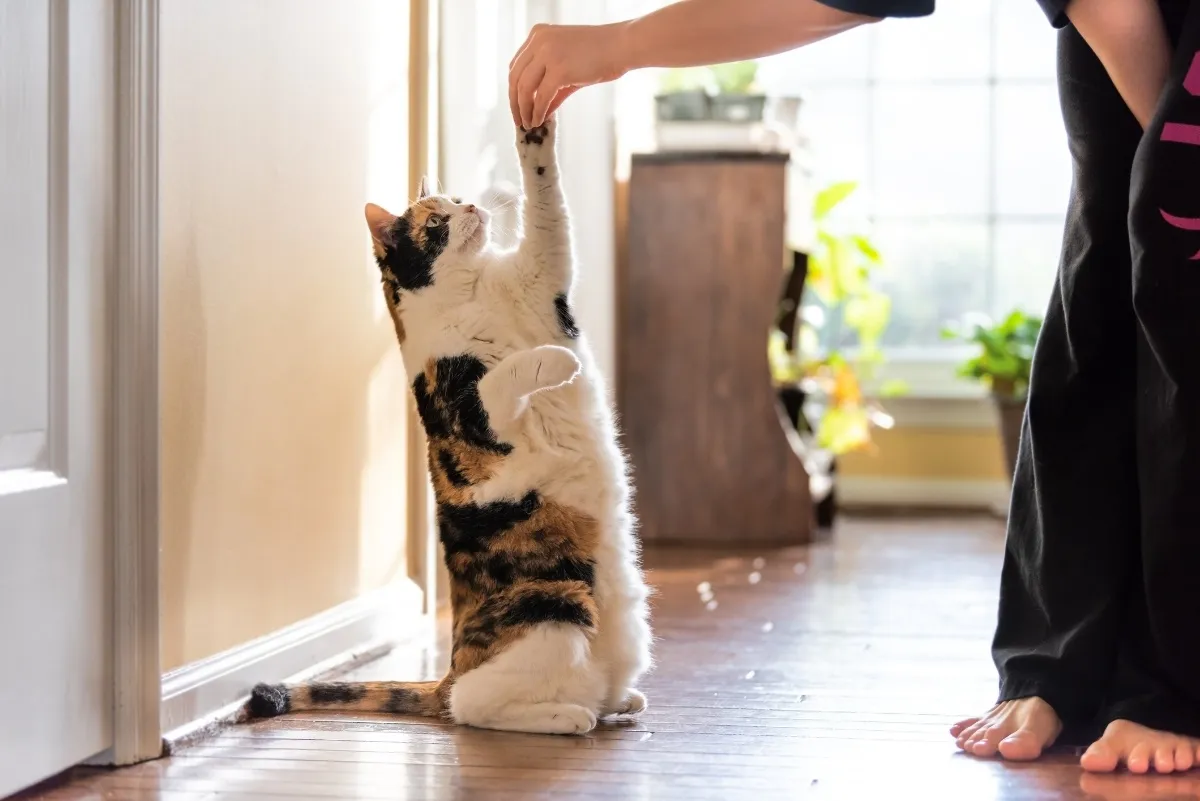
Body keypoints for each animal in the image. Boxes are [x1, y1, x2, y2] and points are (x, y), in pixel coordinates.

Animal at [247, 115, 652, 733]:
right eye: (436, 221)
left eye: (457, 198)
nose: (473, 207)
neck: (475, 290)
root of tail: (450, 666)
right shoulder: (466, 418)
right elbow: (502, 378)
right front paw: (556, 362)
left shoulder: (542, 271)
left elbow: (546, 205)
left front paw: (535, 132)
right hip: (553, 604)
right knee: (473, 705)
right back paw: (566, 717)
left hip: (622, 625)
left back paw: (619, 703)